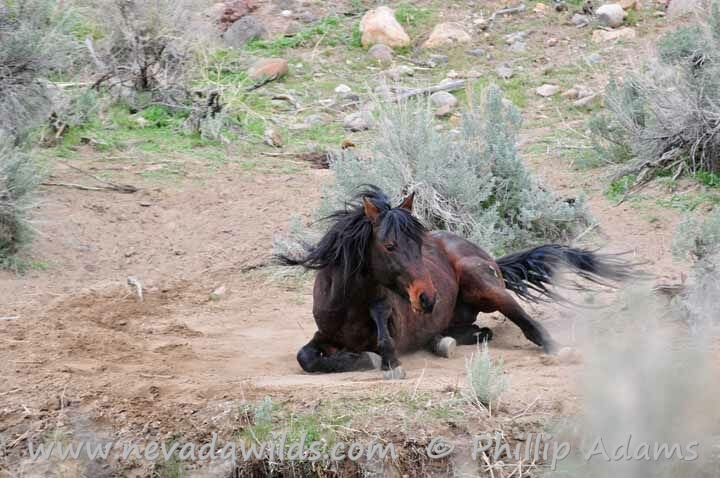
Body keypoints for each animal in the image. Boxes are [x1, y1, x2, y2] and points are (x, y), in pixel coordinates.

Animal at [278, 187, 632, 378]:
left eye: (420, 243)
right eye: (389, 246)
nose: (427, 299)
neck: (349, 305)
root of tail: (487, 256)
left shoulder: (391, 326)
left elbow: (384, 346)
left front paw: (375, 359)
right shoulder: (324, 335)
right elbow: (306, 357)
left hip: (484, 284)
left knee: (527, 323)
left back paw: (558, 348)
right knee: (478, 332)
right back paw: (446, 341)